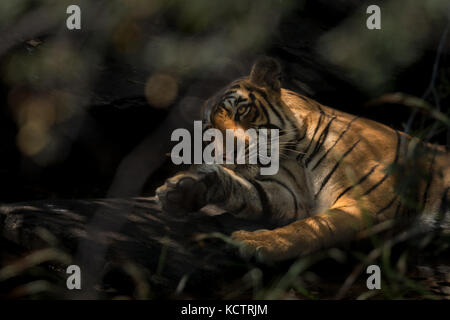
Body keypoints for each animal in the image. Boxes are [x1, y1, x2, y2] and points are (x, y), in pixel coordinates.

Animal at [156, 57, 450, 262]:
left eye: (242, 110)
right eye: (209, 131)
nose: (228, 153)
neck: (293, 156)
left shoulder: (365, 203)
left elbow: (309, 228)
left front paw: (258, 243)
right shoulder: (290, 196)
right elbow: (248, 191)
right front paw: (184, 190)